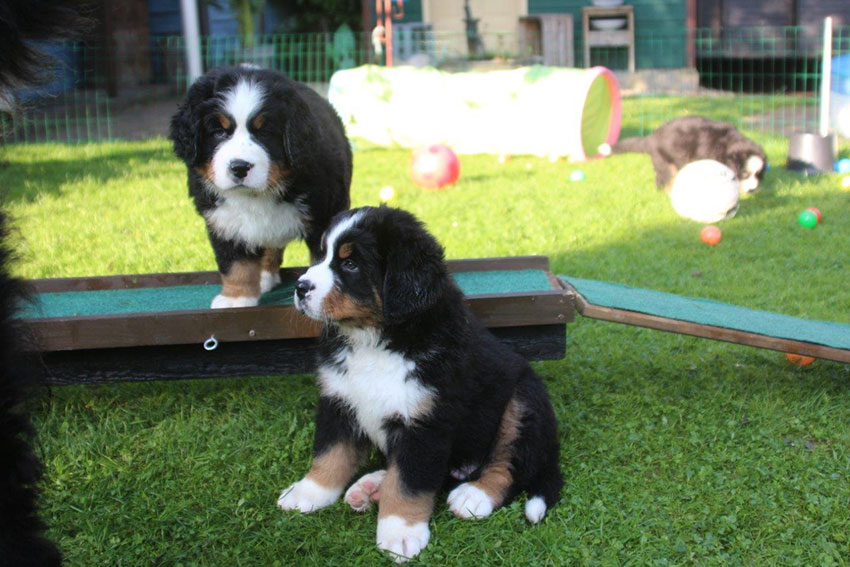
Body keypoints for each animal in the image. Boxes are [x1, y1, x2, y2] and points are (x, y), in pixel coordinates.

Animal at [169, 66, 351, 309]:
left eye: (264, 132)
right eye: (218, 132)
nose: (239, 167)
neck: (255, 194)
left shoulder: (323, 215)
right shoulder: (223, 219)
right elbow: (236, 263)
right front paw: (235, 298)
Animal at [278, 206, 562, 562]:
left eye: (350, 264)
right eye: (321, 255)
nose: (301, 287)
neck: (376, 340)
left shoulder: (425, 422)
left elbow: (410, 481)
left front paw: (400, 532)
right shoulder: (339, 400)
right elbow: (331, 454)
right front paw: (308, 492)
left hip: (523, 401)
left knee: (510, 465)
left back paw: (474, 495)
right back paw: (372, 486)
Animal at [609, 116, 767, 194]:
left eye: (758, 174)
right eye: (744, 174)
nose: (753, 190)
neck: (727, 145)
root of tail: (652, 137)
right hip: (664, 163)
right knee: (664, 180)